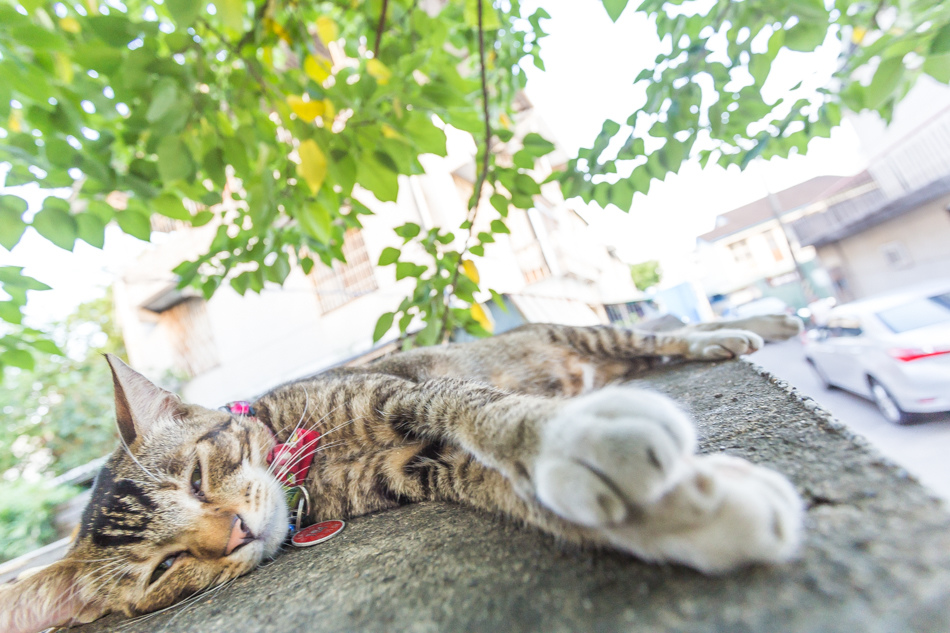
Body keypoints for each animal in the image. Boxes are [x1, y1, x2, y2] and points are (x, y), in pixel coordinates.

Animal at [0, 316, 808, 632]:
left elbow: (481, 408)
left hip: (589, 331)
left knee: (658, 335)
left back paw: (745, 327)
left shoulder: (401, 392)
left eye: (198, 476)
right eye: (164, 567)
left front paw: (580, 438)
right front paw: (694, 513)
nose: (233, 532)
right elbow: (501, 480)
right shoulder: (420, 467)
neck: (311, 471)